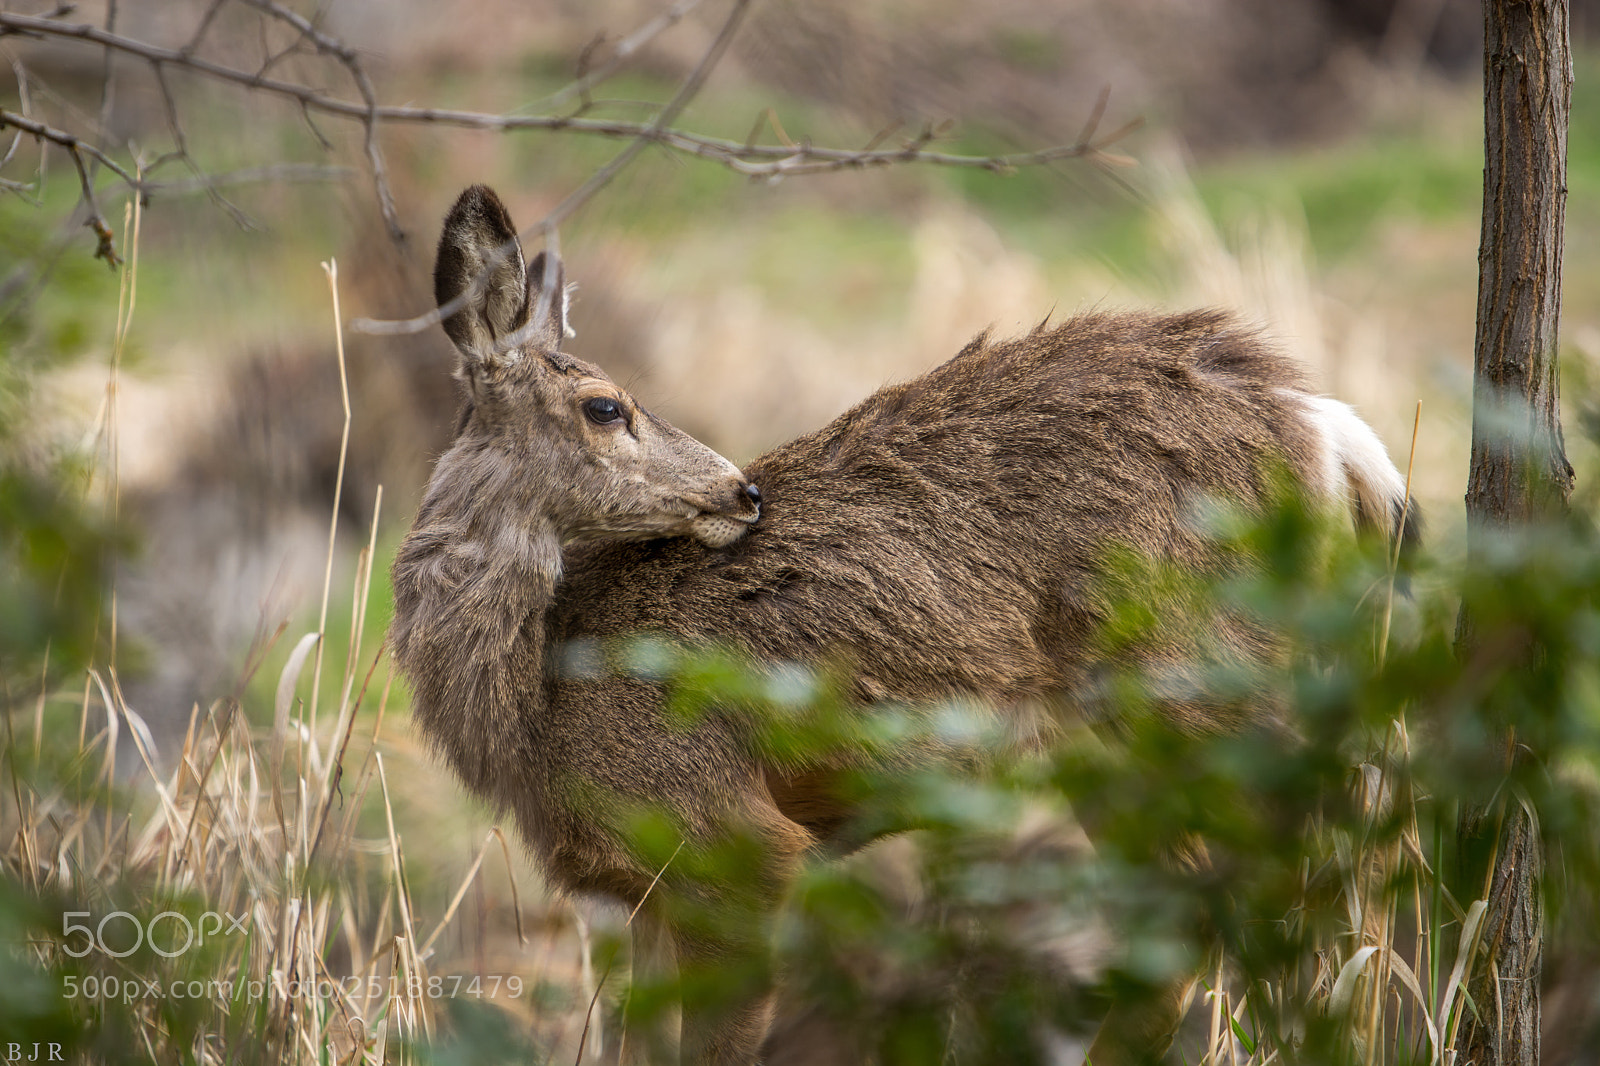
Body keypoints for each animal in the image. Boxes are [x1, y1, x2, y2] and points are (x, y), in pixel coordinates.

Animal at [389, 184, 1416, 1065]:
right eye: (605, 406)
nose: (743, 492)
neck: (536, 709)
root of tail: (1327, 425)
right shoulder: (634, 894)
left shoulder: (731, 838)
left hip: (1186, 686)